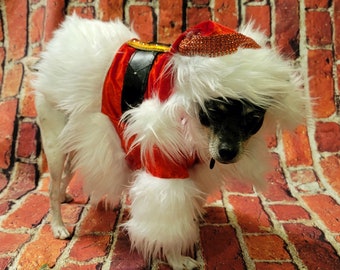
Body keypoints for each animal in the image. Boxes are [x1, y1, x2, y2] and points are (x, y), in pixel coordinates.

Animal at [33, 14, 306, 270]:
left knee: (65, 176)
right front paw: (176, 257)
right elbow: (167, 220)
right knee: (51, 187)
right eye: (212, 110)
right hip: (56, 144)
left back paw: (65, 196)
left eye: (254, 118)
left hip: (76, 139)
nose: (227, 152)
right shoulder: (164, 164)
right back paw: (58, 225)